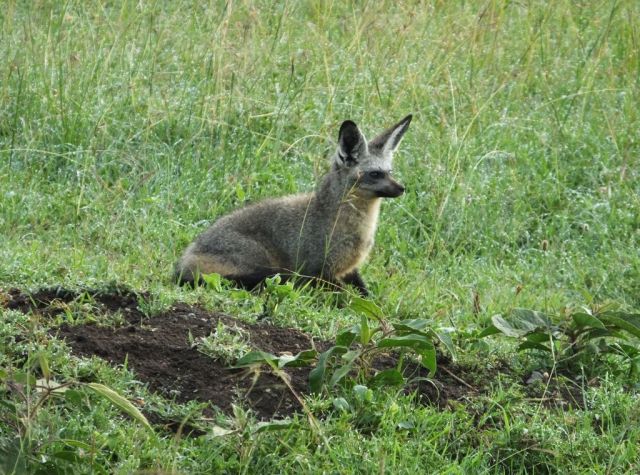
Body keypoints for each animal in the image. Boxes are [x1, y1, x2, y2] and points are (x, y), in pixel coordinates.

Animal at [174, 114, 413, 296]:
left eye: (389, 172)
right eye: (375, 174)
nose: (402, 188)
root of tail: (182, 262)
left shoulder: (349, 271)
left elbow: (367, 295)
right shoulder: (318, 272)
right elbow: (351, 297)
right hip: (261, 262)